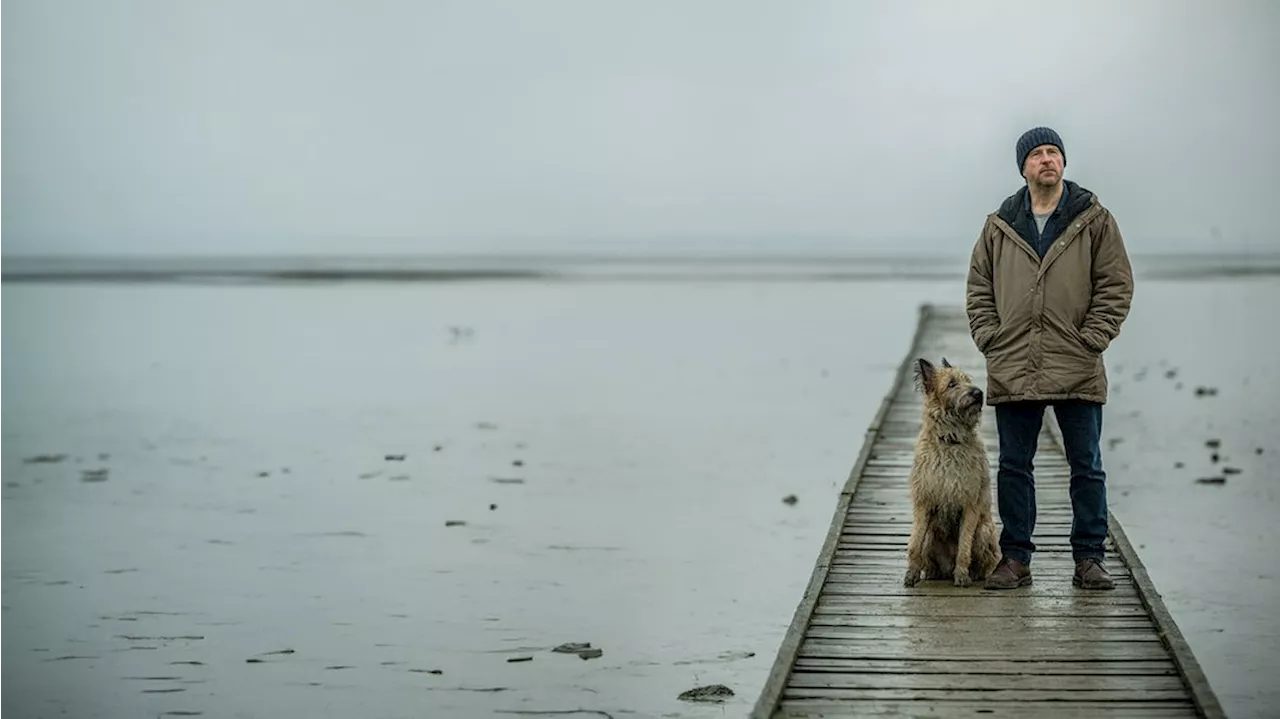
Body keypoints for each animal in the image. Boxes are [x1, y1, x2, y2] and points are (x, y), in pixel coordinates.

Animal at [901, 355, 998, 585]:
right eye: (952, 384)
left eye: (968, 380)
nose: (978, 393)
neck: (950, 441)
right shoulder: (924, 501)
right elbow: (915, 543)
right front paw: (911, 573)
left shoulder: (970, 503)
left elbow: (964, 545)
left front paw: (962, 574)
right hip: (931, 534)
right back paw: (932, 572)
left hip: (985, 530)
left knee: (987, 560)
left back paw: (977, 573)